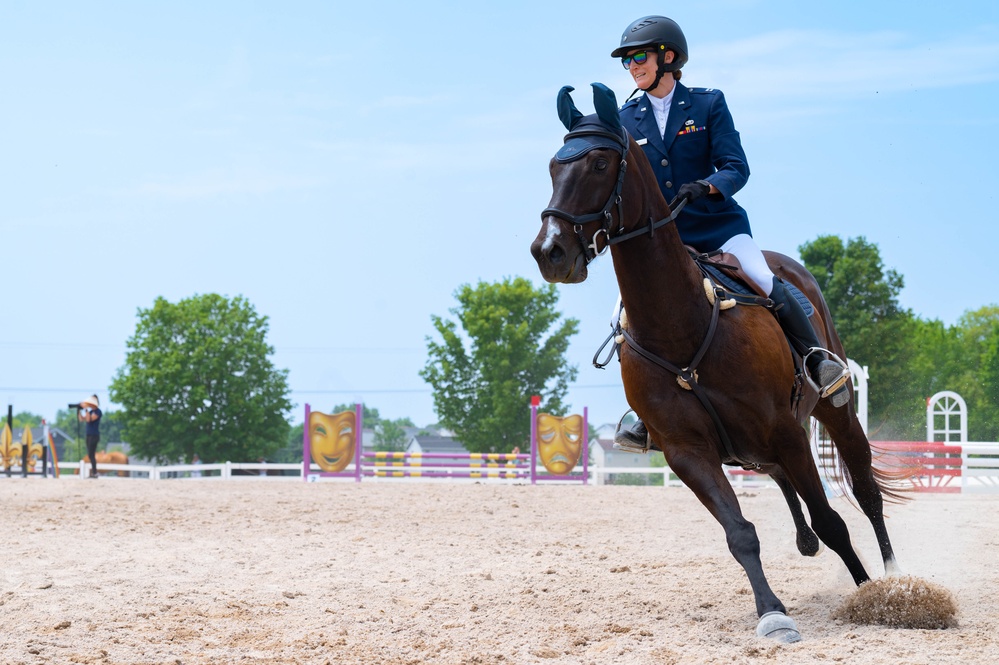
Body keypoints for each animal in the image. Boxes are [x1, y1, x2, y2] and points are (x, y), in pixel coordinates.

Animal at [532, 83, 908, 644]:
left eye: (599, 164)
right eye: (554, 166)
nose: (549, 252)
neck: (679, 324)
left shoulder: (786, 432)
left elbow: (832, 521)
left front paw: (870, 594)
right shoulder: (686, 451)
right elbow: (739, 533)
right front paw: (772, 614)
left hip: (832, 413)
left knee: (864, 491)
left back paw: (894, 577)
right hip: (755, 447)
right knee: (783, 484)